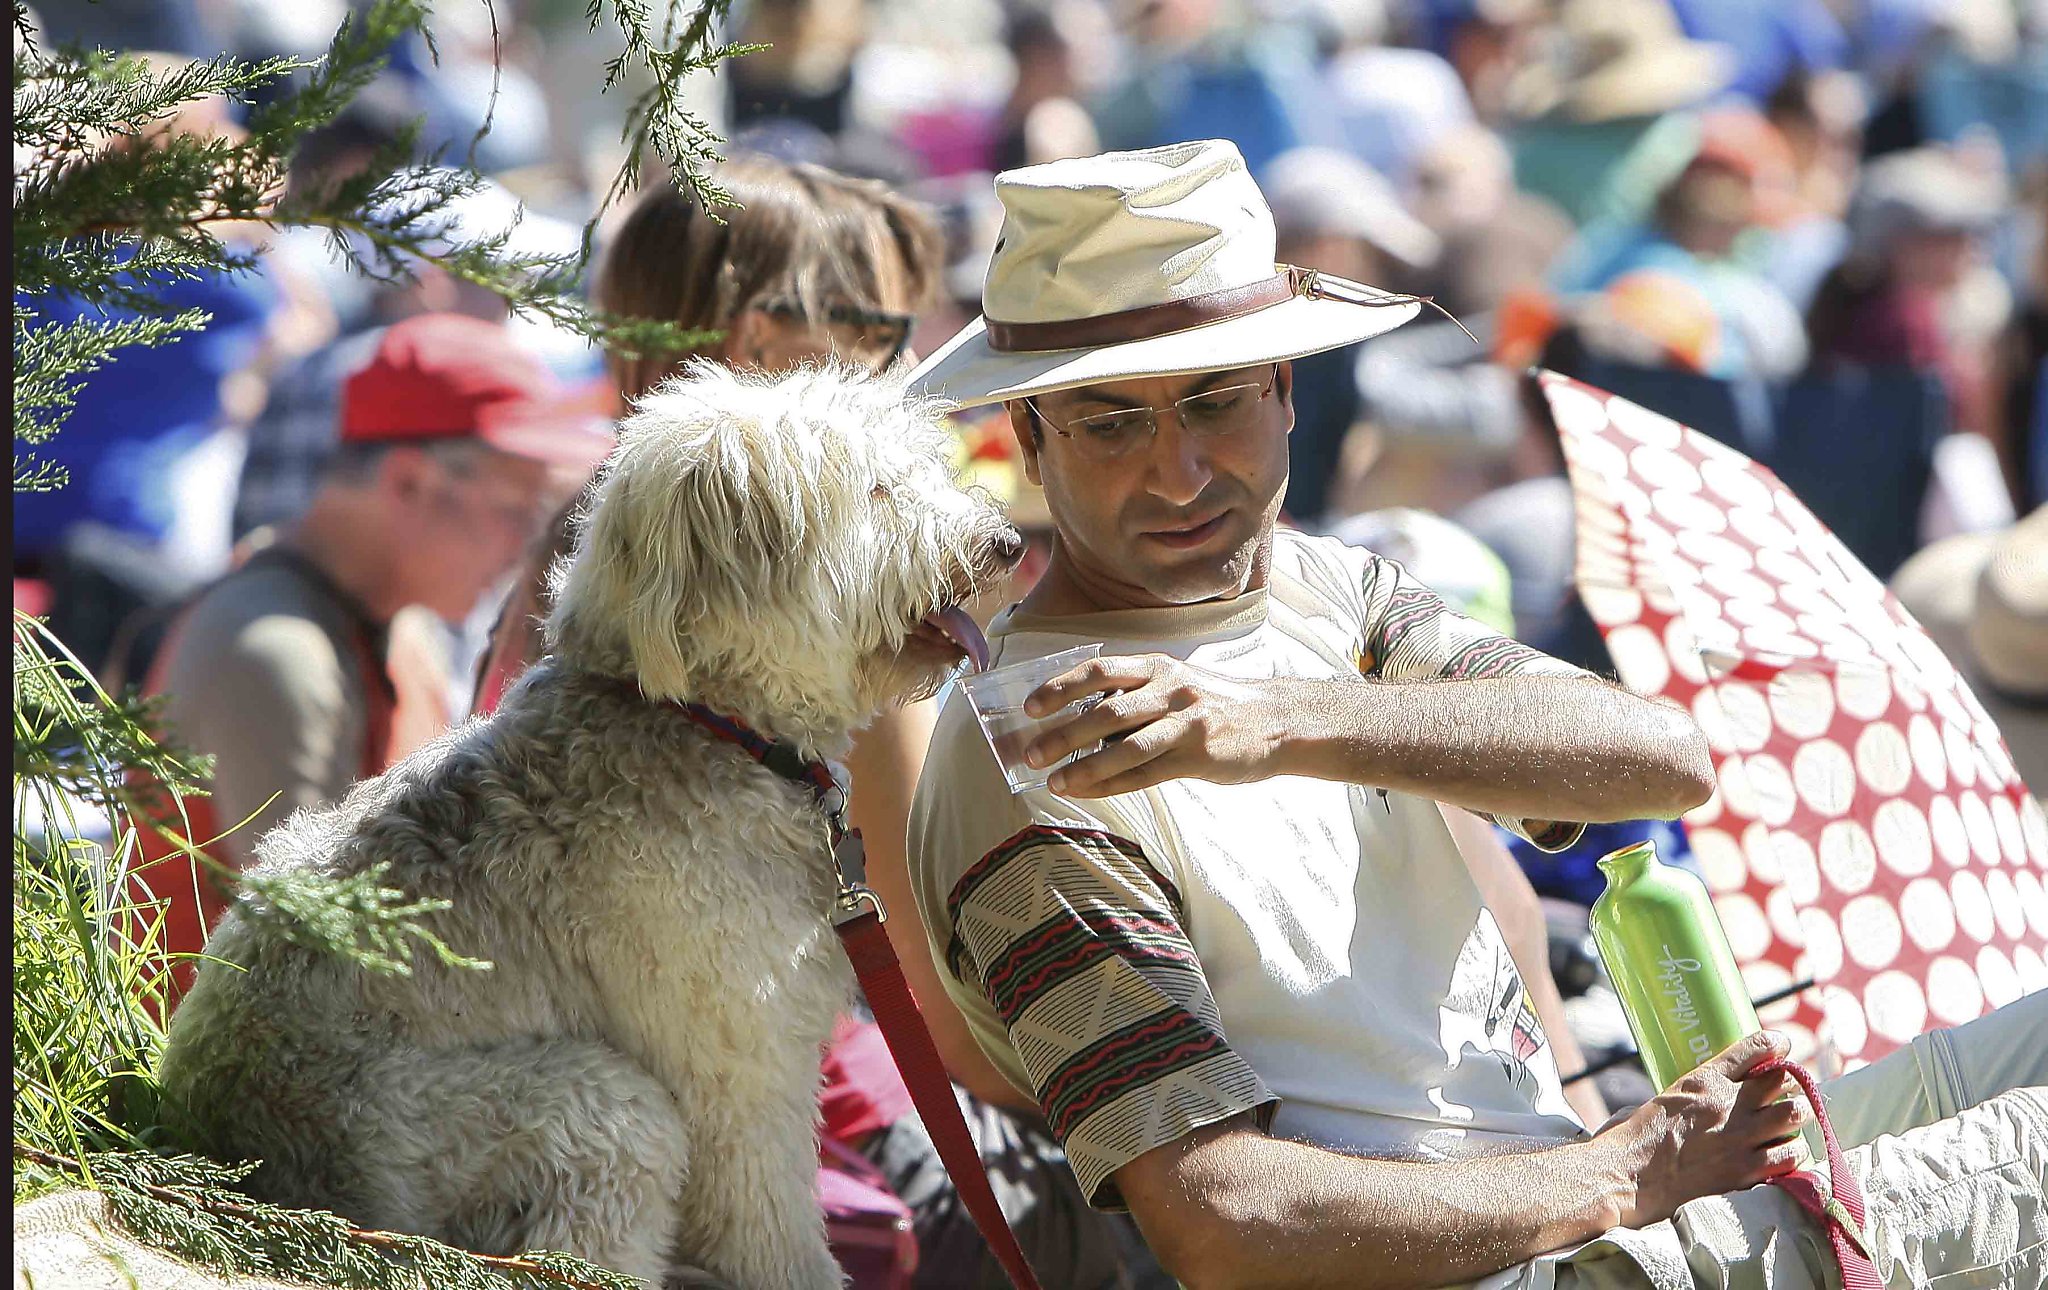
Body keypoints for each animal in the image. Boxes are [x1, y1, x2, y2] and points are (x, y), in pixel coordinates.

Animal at [155, 364, 1019, 1290]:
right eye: (878, 491)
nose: (1008, 542)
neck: (710, 723)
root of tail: (220, 1143)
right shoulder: (737, 1072)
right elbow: (771, 1229)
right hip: (571, 1112)